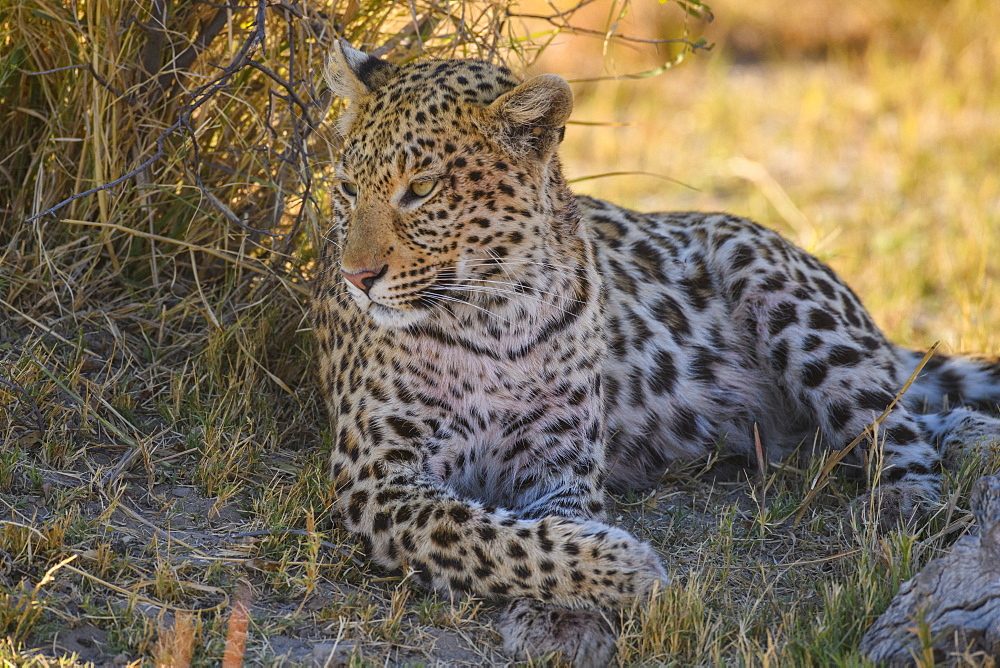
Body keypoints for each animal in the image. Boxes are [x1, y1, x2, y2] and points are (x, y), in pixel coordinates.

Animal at [312, 40, 1000, 664]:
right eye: (346, 187)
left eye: (422, 189)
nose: (355, 276)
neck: (493, 318)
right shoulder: (378, 475)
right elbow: (488, 535)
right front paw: (621, 568)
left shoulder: (558, 463)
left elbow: (539, 530)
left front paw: (572, 612)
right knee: (903, 420)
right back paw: (976, 440)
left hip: (791, 303)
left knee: (896, 424)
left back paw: (908, 500)